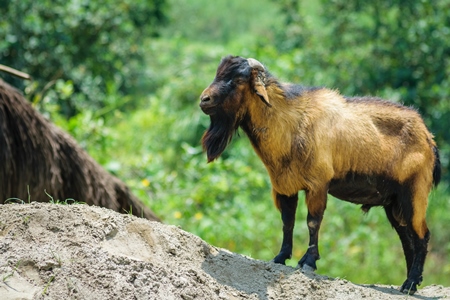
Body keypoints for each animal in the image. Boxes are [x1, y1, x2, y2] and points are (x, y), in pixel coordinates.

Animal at [199, 55, 442, 294]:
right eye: (219, 73)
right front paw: (280, 257)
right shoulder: (284, 186)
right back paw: (408, 284)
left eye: (237, 80)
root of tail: (429, 138)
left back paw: (411, 283)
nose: (204, 100)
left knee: (422, 236)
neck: (292, 122)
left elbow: (312, 222)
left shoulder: (317, 184)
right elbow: (287, 222)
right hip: (393, 203)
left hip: (414, 193)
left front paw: (308, 261)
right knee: (407, 240)